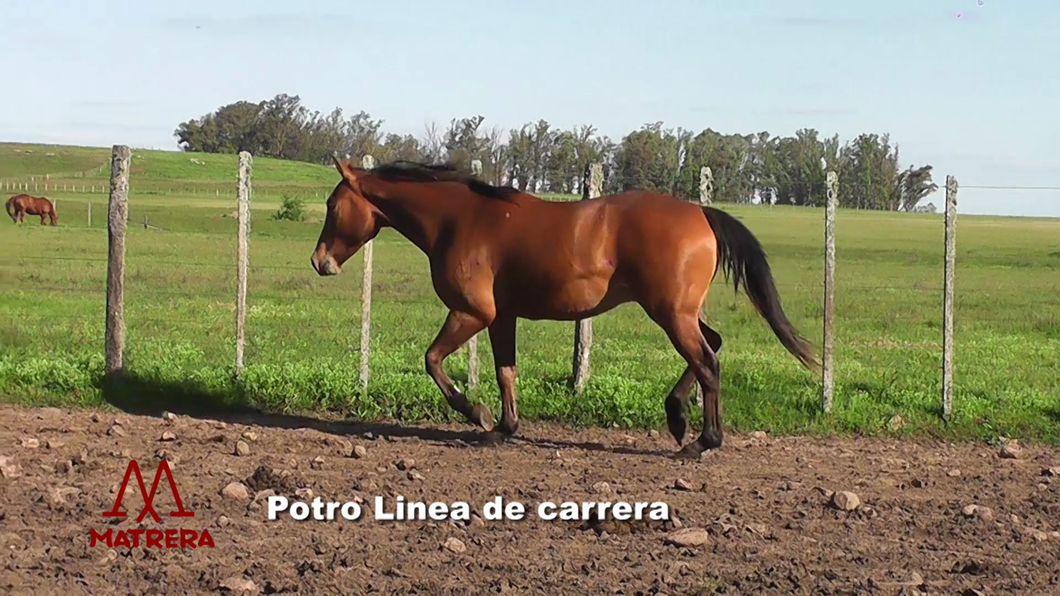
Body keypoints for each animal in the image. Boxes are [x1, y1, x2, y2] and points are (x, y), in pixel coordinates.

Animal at [309, 158, 818, 460]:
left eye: (333, 204)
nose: (319, 262)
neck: (459, 220)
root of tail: (701, 213)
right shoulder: (502, 317)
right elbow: (506, 371)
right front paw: (504, 427)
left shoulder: (472, 314)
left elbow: (433, 360)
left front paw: (477, 414)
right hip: (681, 313)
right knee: (712, 345)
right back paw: (676, 416)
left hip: (671, 315)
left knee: (708, 361)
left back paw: (701, 441)